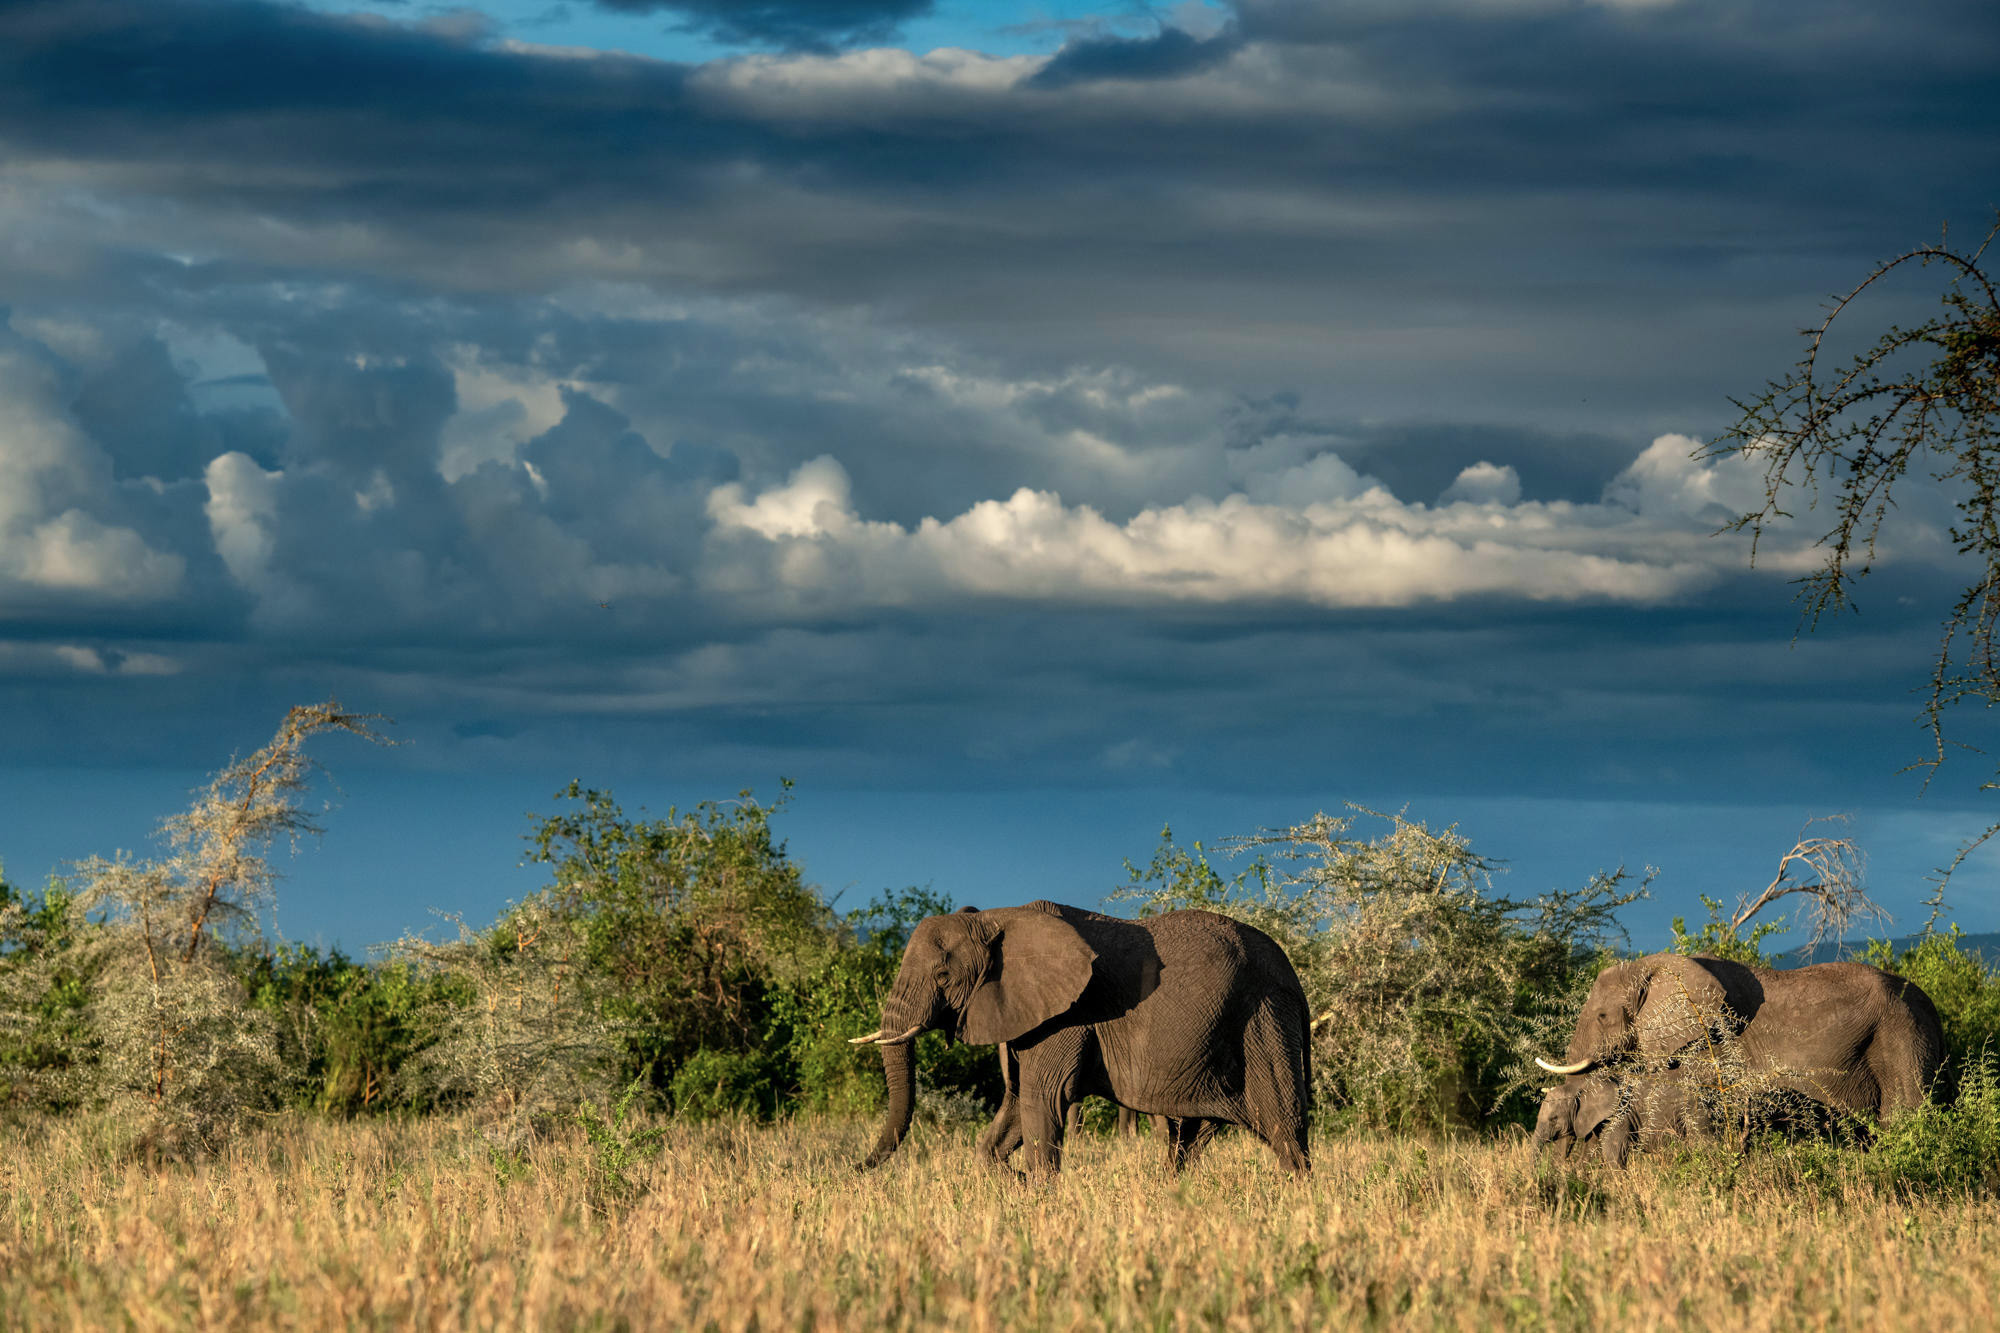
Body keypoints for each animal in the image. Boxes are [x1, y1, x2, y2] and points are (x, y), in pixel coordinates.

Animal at [850, 900, 1312, 1175]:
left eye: (943, 975)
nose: (854, 1168)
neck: (1000, 917)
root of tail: (1293, 974)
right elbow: (1015, 1106)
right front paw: (1013, 1176)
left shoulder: (1067, 1016)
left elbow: (1042, 1098)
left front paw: (1034, 1188)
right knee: (1194, 1137)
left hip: (1264, 1018)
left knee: (1283, 1127)